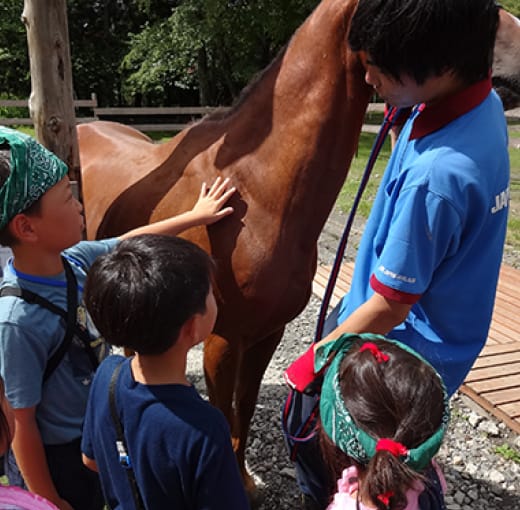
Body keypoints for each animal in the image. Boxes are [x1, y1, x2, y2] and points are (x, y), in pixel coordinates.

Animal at [77, 0, 520, 494]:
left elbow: (246, 407)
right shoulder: (222, 340)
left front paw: (245, 479)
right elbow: (223, 410)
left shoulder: (267, 334)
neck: (256, 195)